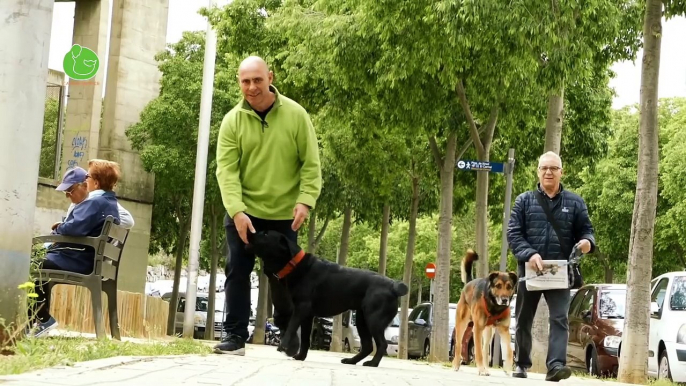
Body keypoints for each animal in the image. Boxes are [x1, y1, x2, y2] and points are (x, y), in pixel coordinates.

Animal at [247, 231, 408, 366]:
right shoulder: (307, 315)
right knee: (368, 346)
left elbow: (291, 327)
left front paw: (283, 346)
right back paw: (352, 361)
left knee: (382, 344)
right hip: (362, 319)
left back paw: (373, 363)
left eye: (266, 234)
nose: (250, 232)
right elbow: (305, 339)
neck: (295, 265)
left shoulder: (301, 308)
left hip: (373, 320)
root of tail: (393, 286)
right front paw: (301, 357)